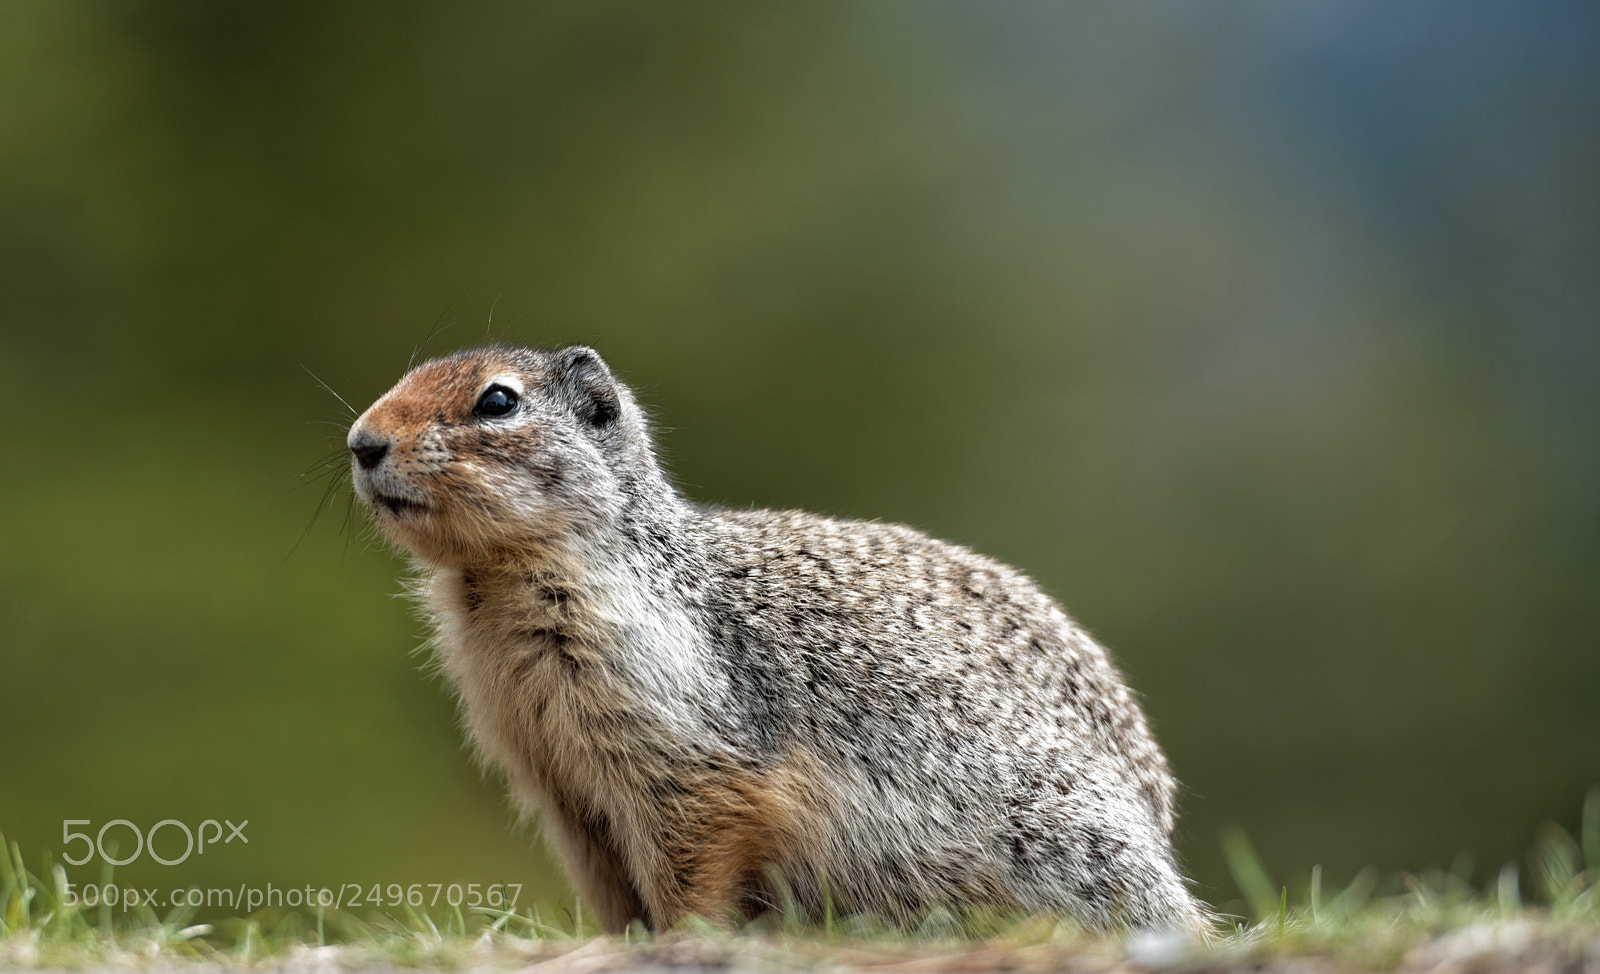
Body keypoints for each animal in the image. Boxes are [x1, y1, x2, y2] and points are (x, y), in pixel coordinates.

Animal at [346, 344, 1207, 935]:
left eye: (497, 400)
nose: (360, 441)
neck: (492, 587)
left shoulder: (676, 720)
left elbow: (699, 836)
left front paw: (683, 937)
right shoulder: (561, 785)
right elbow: (610, 876)